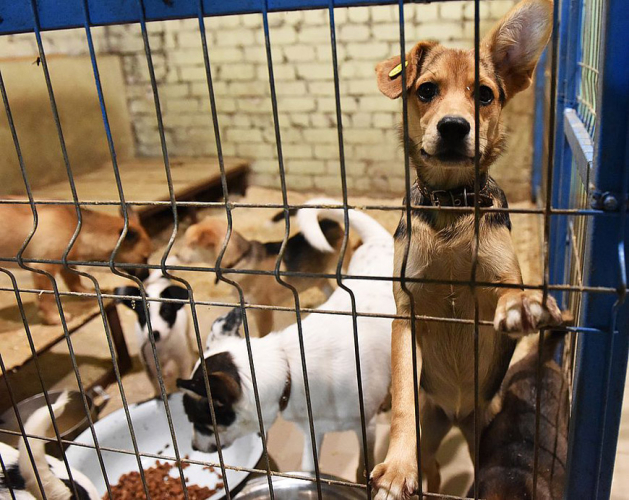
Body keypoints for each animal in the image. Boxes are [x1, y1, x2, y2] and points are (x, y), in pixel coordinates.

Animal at [0, 203, 152, 324]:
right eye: (144, 257)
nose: (146, 278)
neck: (78, 228)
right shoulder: (43, 268)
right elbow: (47, 298)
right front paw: (53, 317)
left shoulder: (66, 263)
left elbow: (74, 280)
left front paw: (84, 292)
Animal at [115, 266, 194, 396]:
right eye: (143, 314)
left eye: (166, 312)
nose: (155, 334)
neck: (162, 345)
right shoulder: (150, 364)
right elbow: (157, 384)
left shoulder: (182, 358)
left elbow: (184, 374)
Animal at [177, 212, 352, 336]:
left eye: (191, 244)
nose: (177, 255)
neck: (239, 260)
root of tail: (328, 222)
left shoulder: (264, 313)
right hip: (319, 280)